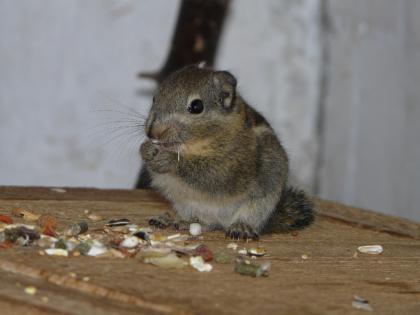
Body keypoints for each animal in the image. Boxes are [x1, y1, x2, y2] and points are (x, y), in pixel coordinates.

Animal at [139, 65, 314, 241]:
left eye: (196, 107)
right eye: (154, 98)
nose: (153, 132)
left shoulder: (234, 165)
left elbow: (210, 175)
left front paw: (170, 160)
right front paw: (146, 149)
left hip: (260, 204)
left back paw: (241, 227)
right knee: (204, 223)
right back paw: (171, 218)